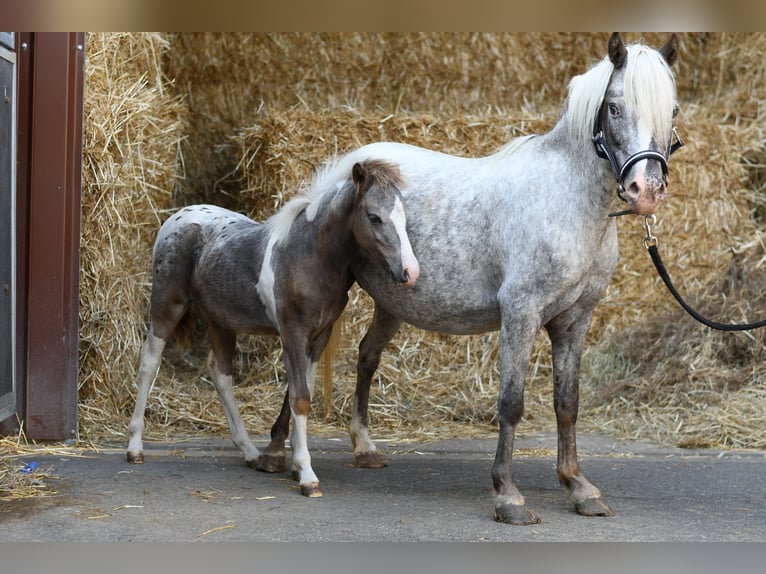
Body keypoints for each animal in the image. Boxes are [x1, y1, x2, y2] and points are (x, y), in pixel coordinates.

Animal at [126, 159, 420, 498]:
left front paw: (290, 463)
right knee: (149, 364)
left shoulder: (319, 335)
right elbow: (300, 398)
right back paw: (135, 447)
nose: (410, 271)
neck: (309, 257)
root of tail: (178, 216)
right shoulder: (292, 331)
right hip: (167, 305)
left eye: (405, 216)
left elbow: (303, 389)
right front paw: (306, 475)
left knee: (220, 373)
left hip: (221, 320)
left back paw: (251, 452)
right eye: (373, 216)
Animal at [264, 33, 682, 523]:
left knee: (365, 357)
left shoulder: (575, 320)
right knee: (302, 367)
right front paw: (508, 495)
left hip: (392, 302)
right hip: (323, 303)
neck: (569, 204)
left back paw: (363, 447)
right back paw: (275, 453)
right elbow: (512, 403)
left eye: (672, 110)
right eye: (614, 107)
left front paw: (579, 487)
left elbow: (567, 404)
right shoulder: (520, 313)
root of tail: (347, 167)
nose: (646, 191)